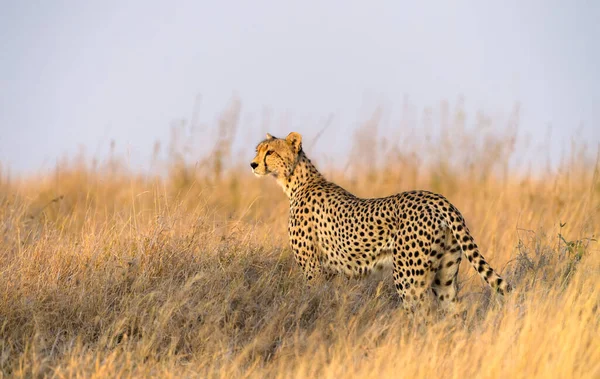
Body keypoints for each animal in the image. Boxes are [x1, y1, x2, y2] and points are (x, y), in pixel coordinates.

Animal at [250, 132, 510, 310]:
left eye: (270, 152)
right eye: (257, 150)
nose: (252, 164)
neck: (297, 182)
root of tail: (439, 199)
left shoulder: (312, 268)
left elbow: (313, 300)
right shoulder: (331, 273)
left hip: (408, 278)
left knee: (422, 315)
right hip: (444, 278)